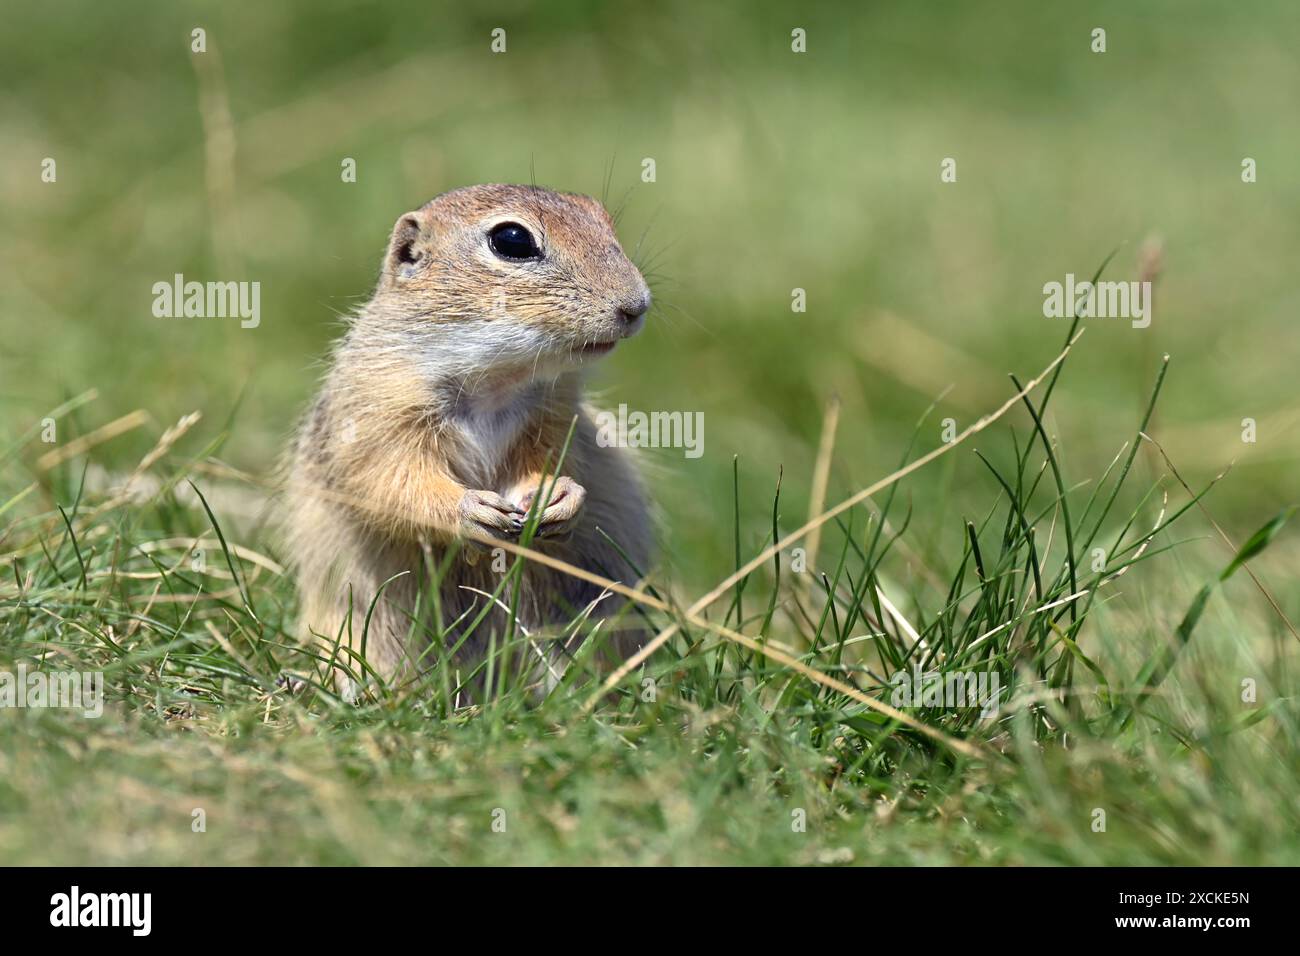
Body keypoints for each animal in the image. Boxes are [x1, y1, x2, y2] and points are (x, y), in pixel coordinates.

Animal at [284, 183, 650, 691]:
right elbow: (390, 481)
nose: (637, 305)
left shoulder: (554, 415)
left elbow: (555, 459)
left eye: (601, 217)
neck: (495, 381)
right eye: (512, 240)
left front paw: (558, 496)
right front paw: (469, 511)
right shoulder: (377, 412)